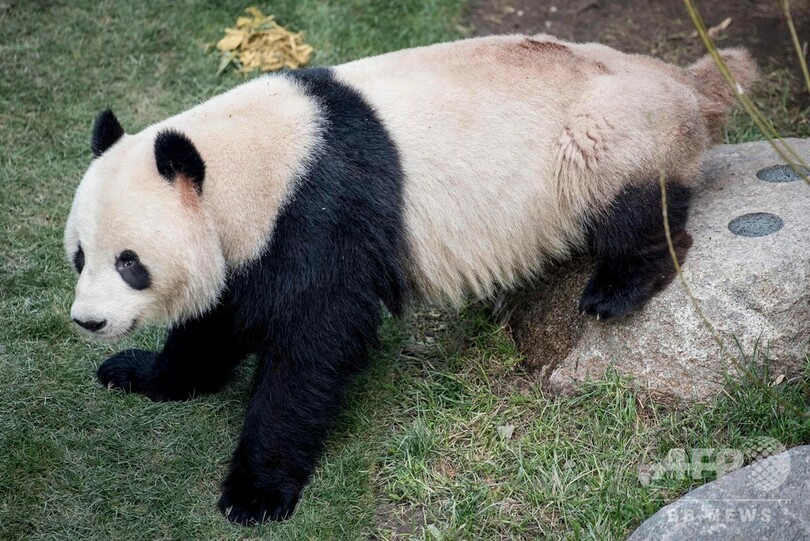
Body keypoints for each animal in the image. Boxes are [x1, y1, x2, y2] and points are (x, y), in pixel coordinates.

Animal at [66, 34, 756, 524]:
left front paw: (254, 493)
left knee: (632, 202)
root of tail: (683, 81)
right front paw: (140, 373)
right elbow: (218, 320)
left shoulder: (321, 213)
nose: (89, 322)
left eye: (130, 262)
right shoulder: (256, 240)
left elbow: (313, 344)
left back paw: (618, 288)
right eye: (80, 256)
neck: (255, 160)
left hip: (611, 131)